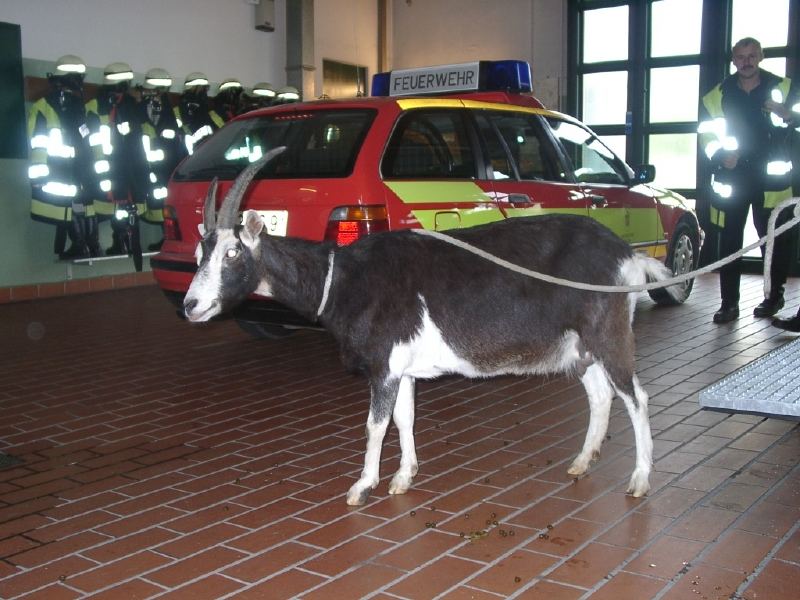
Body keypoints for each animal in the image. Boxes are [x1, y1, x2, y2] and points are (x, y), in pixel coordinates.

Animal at [183, 148, 676, 504]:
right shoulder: (402, 370)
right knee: (600, 394)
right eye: (198, 254)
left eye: (232, 253)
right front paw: (404, 477)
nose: (191, 306)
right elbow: (405, 417)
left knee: (636, 397)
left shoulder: (383, 367)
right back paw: (582, 461)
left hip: (608, 332)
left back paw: (639, 480)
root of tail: (628, 256)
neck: (340, 278)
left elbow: (375, 425)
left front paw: (362, 486)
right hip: (579, 345)